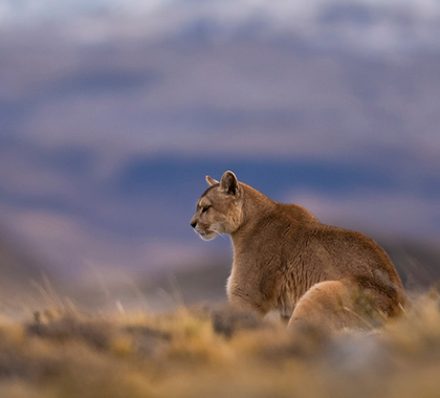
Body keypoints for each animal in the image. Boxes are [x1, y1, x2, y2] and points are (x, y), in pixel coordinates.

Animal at [190, 171, 406, 330]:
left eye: (205, 208)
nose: (192, 224)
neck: (249, 221)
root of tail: (399, 310)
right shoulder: (283, 309)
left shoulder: (246, 295)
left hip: (321, 291)